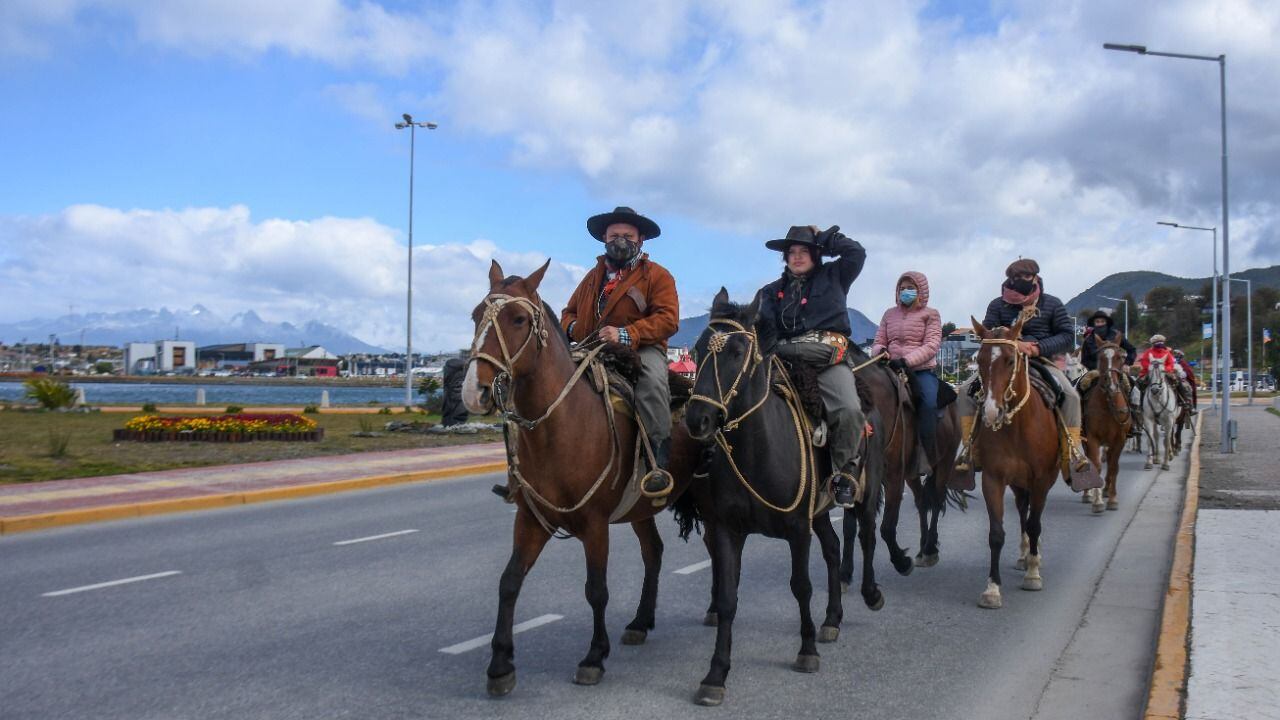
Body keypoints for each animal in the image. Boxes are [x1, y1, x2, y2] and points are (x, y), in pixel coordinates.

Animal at [463, 260, 701, 691]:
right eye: (476, 316)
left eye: (518, 319)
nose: (475, 391)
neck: (560, 425)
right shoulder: (531, 519)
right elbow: (509, 581)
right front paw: (501, 664)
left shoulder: (595, 523)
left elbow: (596, 589)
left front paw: (594, 656)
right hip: (640, 509)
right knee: (654, 552)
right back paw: (641, 621)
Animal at [680, 288, 880, 702]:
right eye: (698, 347)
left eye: (737, 350)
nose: (697, 419)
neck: (758, 450)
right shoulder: (728, 529)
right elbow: (728, 598)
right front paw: (716, 674)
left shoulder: (797, 528)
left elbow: (800, 586)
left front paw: (806, 650)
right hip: (820, 511)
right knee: (833, 548)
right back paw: (832, 618)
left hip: (865, 492)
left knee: (867, 535)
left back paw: (870, 594)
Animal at [967, 312, 1059, 604]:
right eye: (980, 360)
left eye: (1010, 360)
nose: (991, 412)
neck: (1017, 427)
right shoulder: (993, 479)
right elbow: (997, 533)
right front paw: (992, 588)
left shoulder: (1041, 479)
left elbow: (1035, 524)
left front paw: (1033, 574)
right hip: (1018, 483)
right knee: (1021, 509)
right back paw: (1023, 554)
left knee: (1031, 517)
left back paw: (1032, 557)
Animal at [1080, 335, 1131, 509]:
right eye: (1101, 358)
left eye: (1119, 357)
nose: (1111, 383)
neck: (1108, 403)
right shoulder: (1092, 438)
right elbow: (1096, 464)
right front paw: (1097, 501)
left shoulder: (1120, 439)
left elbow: (1114, 466)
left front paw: (1113, 498)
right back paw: (1088, 493)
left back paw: (1107, 489)